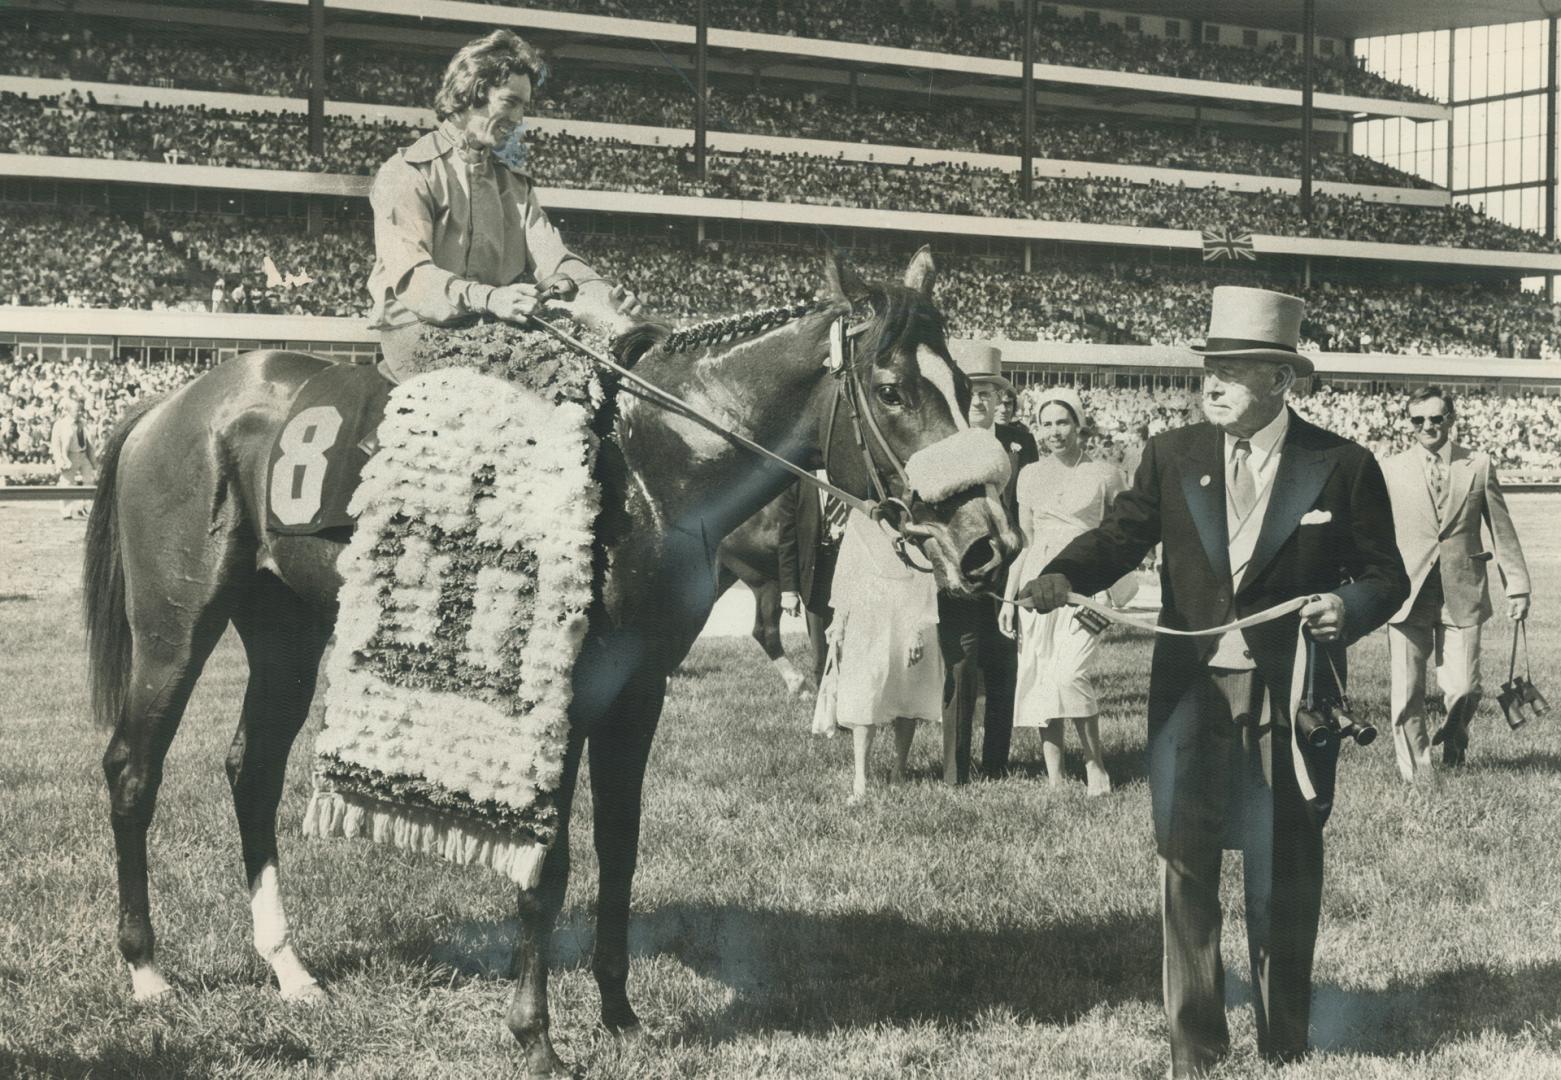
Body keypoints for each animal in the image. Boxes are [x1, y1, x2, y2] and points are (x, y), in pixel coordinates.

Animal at [85, 251, 1017, 1073]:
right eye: (891, 391)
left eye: (961, 387)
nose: (984, 546)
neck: (649, 468)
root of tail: (172, 403)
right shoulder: (565, 691)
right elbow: (550, 860)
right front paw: (535, 1037)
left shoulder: (640, 689)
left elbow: (619, 845)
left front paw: (621, 1015)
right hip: (176, 625)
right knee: (133, 767)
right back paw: (146, 970)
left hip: (284, 630)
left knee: (252, 771)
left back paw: (288, 967)